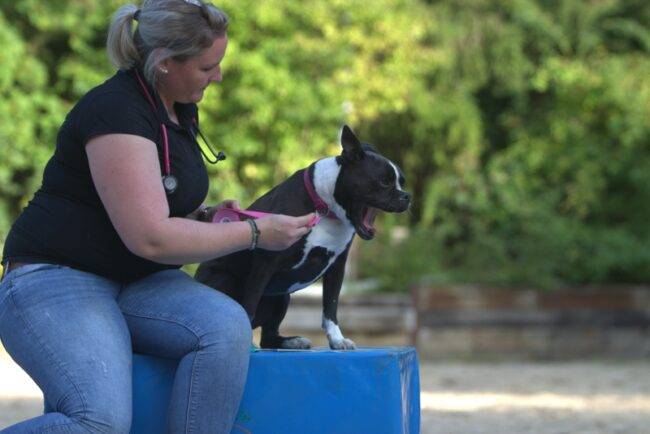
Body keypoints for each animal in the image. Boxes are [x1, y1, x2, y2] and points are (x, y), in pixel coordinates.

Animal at [195, 124, 410, 350]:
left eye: (402, 182)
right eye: (384, 182)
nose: (407, 197)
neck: (325, 208)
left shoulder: (337, 266)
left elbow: (330, 307)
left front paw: (337, 340)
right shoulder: (266, 263)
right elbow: (250, 303)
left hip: (282, 297)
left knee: (267, 337)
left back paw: (291, 341)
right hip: (228, 281)